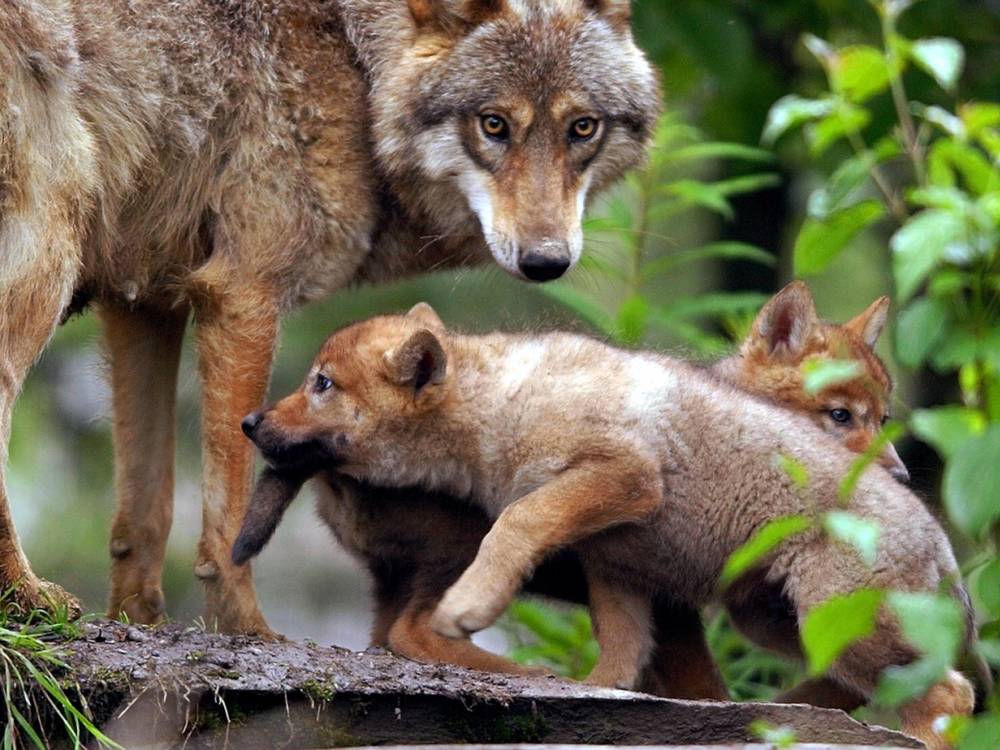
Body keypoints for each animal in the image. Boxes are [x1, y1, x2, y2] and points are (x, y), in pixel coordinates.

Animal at [0, 0, 660, 636]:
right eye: (493, 124)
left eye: (582, 128)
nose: (547, 260)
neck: (355, 64)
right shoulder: (243, 293)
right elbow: (229, 519)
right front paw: (248, 631)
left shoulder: (145, 303)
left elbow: (146, 511)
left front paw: (136, 623)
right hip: (51, 256)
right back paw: (27, 599)